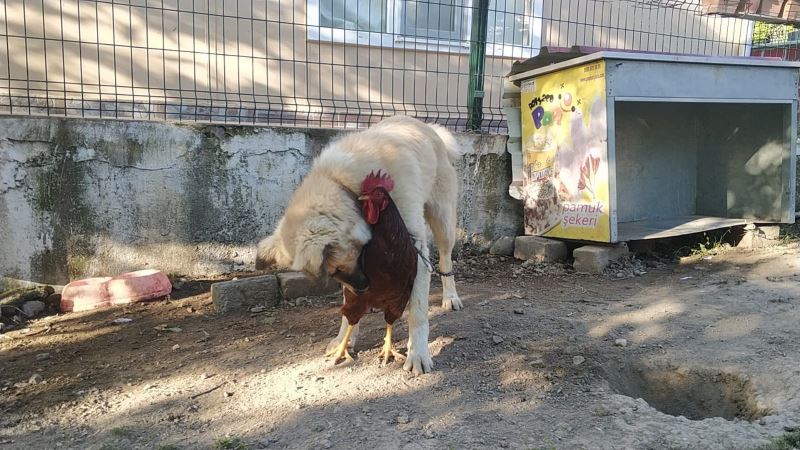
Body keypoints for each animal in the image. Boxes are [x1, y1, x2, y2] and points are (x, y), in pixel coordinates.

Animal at [256, 116, 462, 376]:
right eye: (333, 273)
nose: (364, 287)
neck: (348, 187)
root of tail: (427, 126)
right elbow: (349, 307)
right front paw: (343, 340)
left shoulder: (414, 252)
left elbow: (417, 314)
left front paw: (418, 355)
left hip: (443, 221)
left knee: (445, 259)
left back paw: (450, 297)